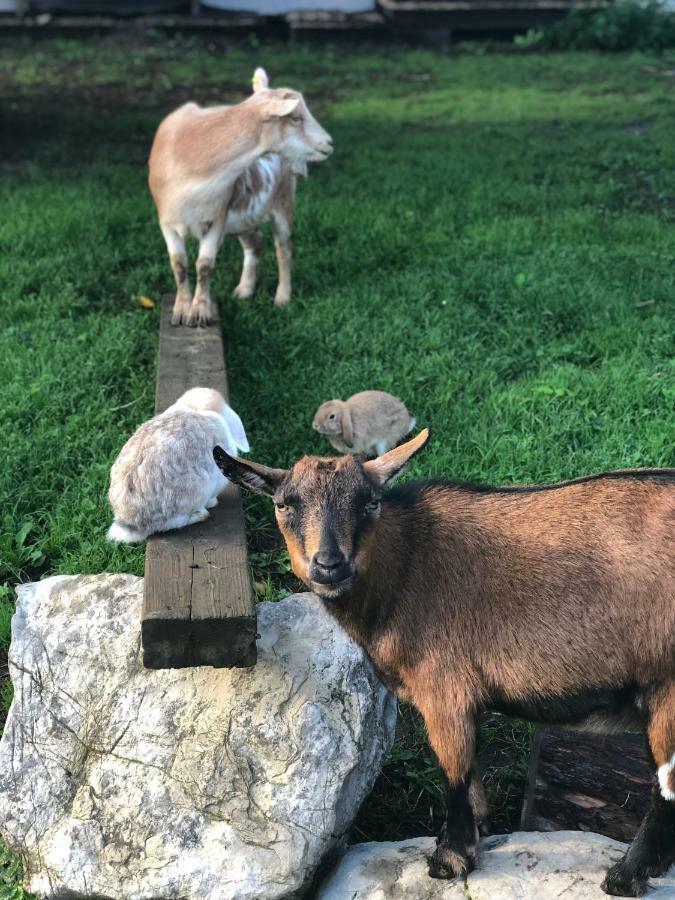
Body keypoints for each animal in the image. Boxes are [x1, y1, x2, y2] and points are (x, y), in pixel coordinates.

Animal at [151, 67, 336, 326]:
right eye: (296, 118)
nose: (329, 143)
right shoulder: (167, 222)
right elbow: (179, 264)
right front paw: (180, 310)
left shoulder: (216, 219)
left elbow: (204, 265)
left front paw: (199, 313)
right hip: (243, 219)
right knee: (254, 243)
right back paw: (244, 290)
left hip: (283, 203)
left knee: (284, 248)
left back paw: (282, 297)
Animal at [215, 432, 675, 896]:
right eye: (283, 504)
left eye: (369, 501)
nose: (329, 564)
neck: (404, 567)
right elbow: (470, 775)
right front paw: (470, 837)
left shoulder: (444, 691)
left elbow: (454, 775)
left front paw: (449, 860)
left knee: (665, 791)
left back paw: (625, 876)